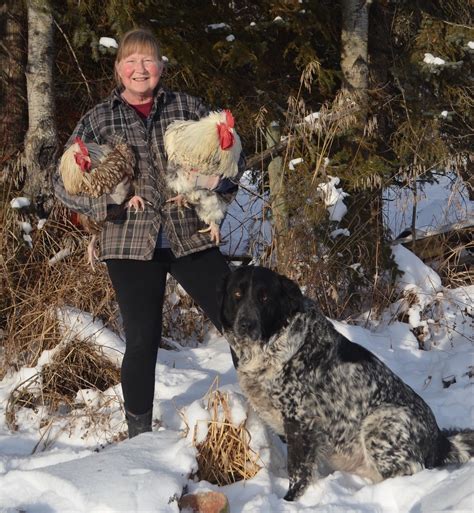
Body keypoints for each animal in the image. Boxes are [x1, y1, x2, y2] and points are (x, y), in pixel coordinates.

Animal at [219, 266, 474, 498]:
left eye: (264, 297)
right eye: (237, 294)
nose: (246, 324)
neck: (273, 344)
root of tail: (440, 441)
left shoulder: (301, 421)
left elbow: (298, 474)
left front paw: (290, 502)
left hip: (379, 422)